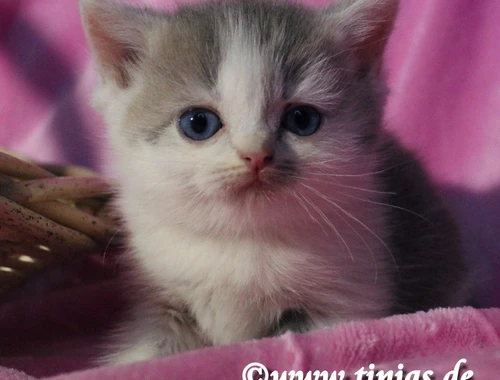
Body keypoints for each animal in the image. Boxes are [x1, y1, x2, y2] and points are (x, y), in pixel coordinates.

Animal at [80, 0, 466, 366]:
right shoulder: (157, 298)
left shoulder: (349, 298)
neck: (243, 240)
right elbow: (145, 348)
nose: (256, 154)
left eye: (302, 119)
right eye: (198, 123)